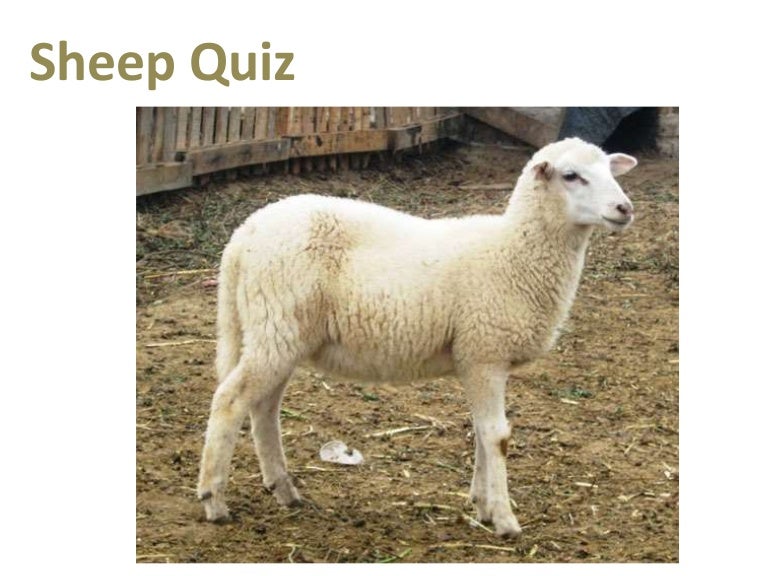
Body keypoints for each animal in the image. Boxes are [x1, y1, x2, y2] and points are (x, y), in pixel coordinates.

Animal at [197, 137, 638, 538]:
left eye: (610, 170)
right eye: (571, 176)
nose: (625, 208)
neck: (514, 251)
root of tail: (243, 235)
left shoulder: (475, 359)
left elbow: (481, 433)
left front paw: (482, 505)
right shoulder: (485, 353)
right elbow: (497, 436)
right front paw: (505, 520)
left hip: (276, 334)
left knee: (263, 407)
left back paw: (284, 489)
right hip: (277, 327)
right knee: (230, 401)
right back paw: (213, 500)